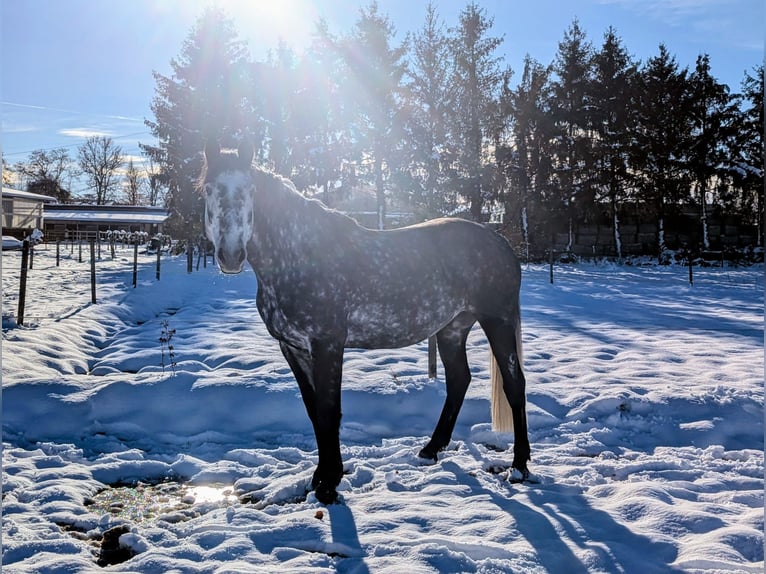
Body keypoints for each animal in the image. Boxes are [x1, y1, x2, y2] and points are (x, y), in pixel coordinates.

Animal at [199, 141, 530, 504]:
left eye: (251, 191)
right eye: (208, 189)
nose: (231, 256)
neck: (297, 253)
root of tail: (501, 244)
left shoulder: (328, 344)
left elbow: (329, 411)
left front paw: (329, 484)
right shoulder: (293, 347)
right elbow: (314, 411)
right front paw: (321, 476)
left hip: (496, 321)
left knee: (514, 385)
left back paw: (520, 467)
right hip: (452, 328)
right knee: (459, 380)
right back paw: (430, 450)